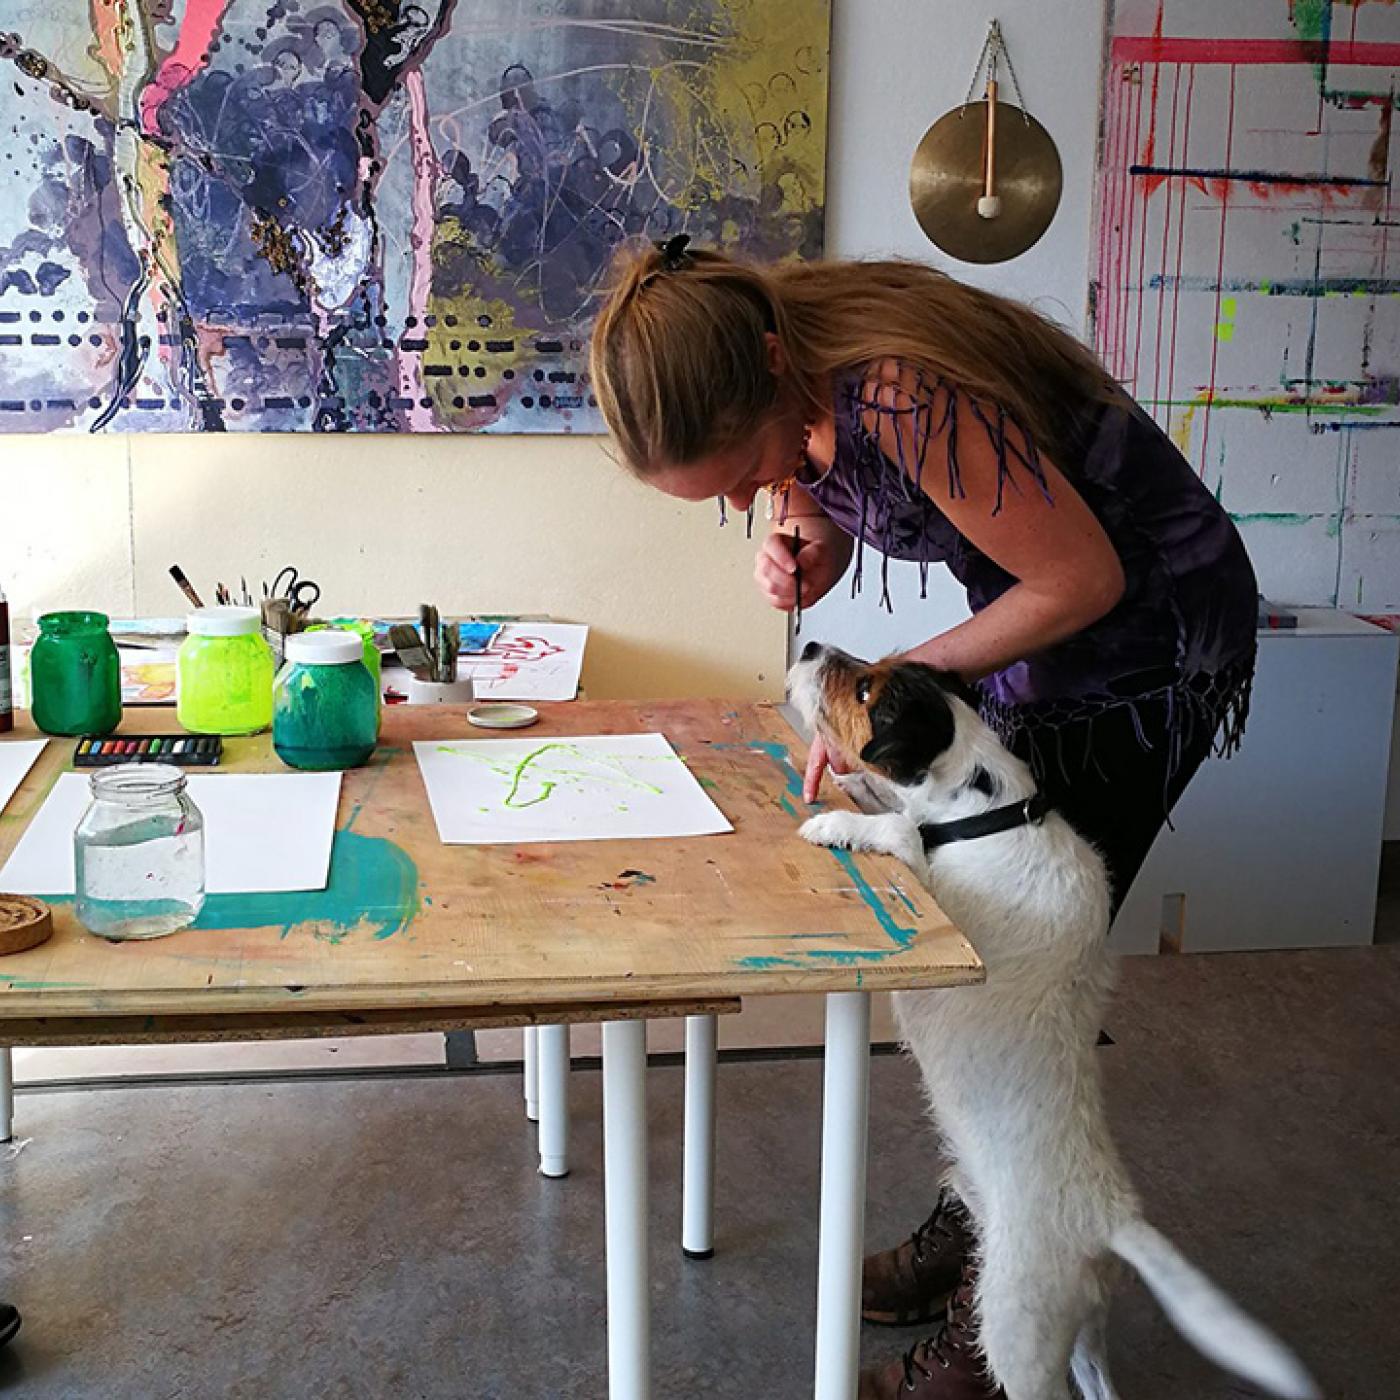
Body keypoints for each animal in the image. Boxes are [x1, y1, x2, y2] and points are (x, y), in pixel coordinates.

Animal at [788, 643, 1318, 1400]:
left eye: (864, 691)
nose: (808, 647)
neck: (991, 814)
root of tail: (1110, 1218)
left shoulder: (941, 893)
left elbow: (898, 829)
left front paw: (837, 823)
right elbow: (888, 804)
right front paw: (848, 790)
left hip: (1018, 1326)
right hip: (1081, 1329)